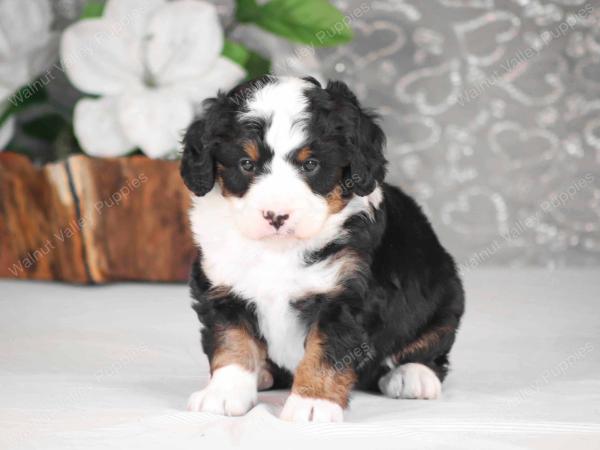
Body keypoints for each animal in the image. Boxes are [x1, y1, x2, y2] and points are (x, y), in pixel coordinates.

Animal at [180, 74, 466, 422]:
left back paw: (413, 375)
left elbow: (326, 351)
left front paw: (313, 402)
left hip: (445, 297)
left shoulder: (345, 297)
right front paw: (223, 394)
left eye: (311, 165)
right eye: (246, 164)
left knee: (430, 347)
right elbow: (232, 342)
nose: (276, 215)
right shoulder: (222, 288)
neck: (278, 251)